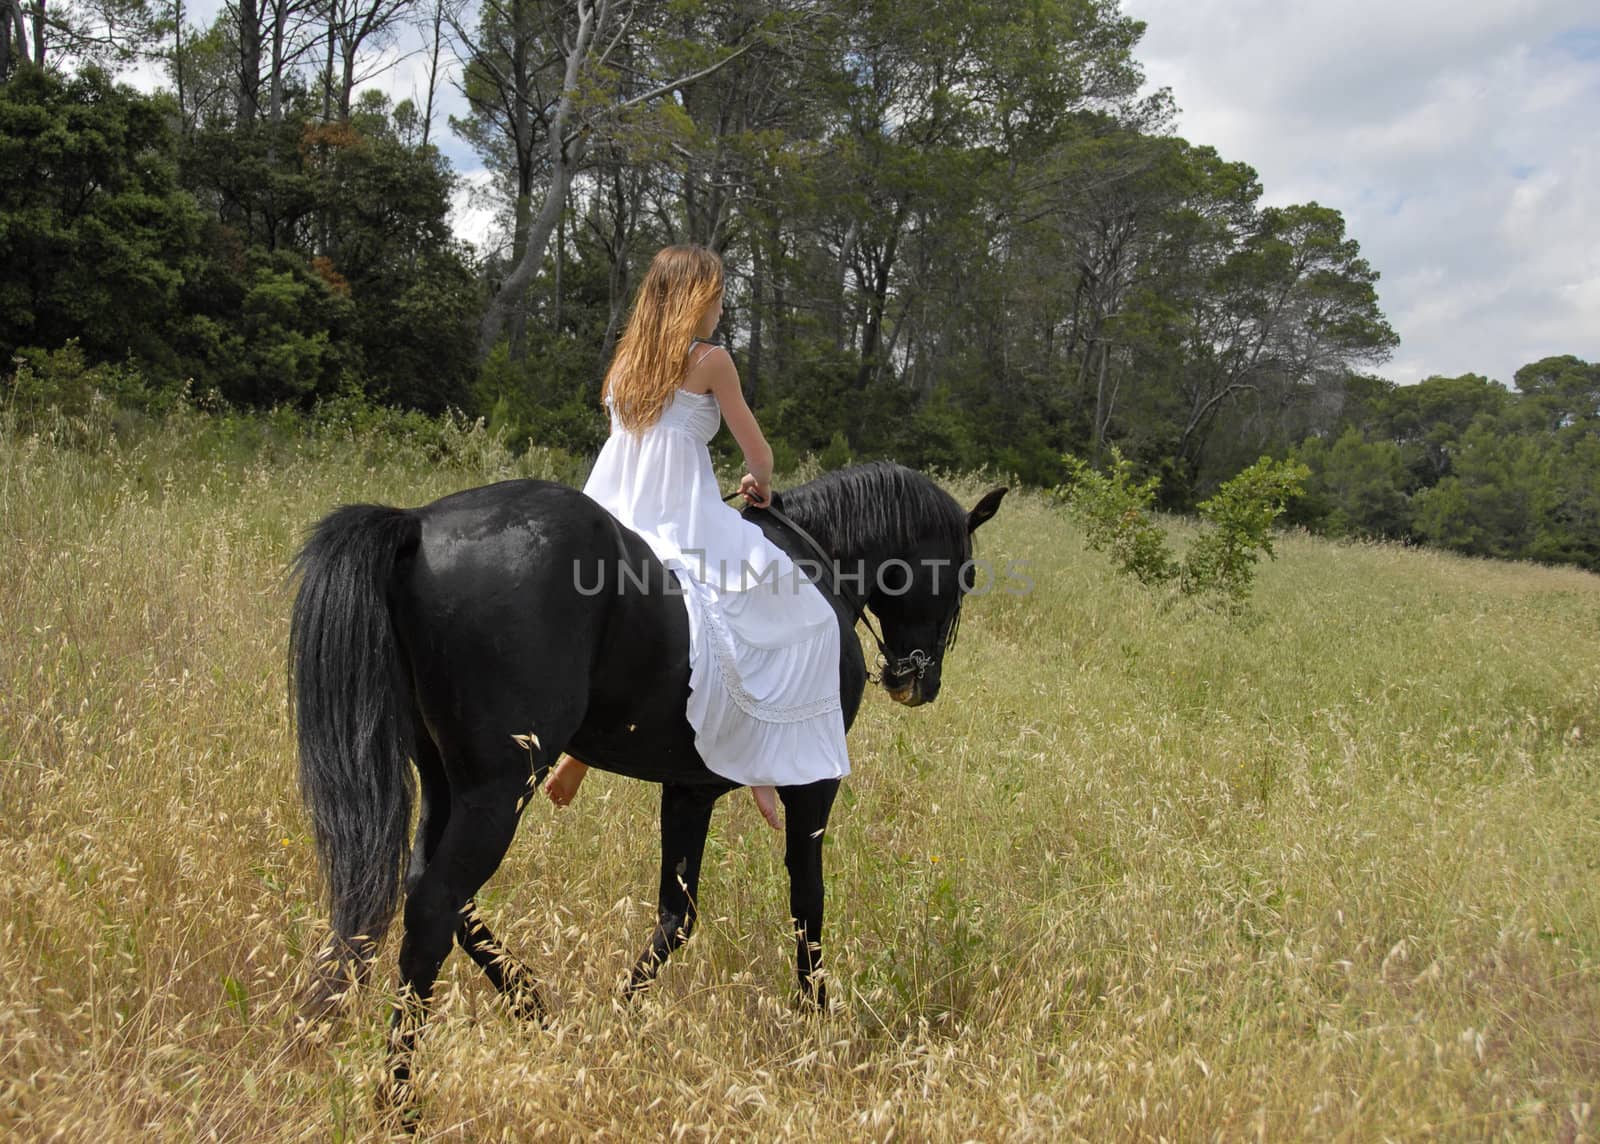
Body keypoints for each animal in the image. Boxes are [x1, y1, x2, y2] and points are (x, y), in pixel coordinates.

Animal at [291, 457, 998, 1094]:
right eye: (962, 575)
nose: (917, 681)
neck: (818, 564)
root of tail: (417, 523)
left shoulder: (690, 788)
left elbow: (676, 915)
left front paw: (620, 1018)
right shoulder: (812, 784)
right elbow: (808, 903)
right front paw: (816, 1023)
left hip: (447, 779)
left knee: (435, 892)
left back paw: (535, 1008)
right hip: (499, 788)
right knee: (435, 907)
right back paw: (401, 1098)